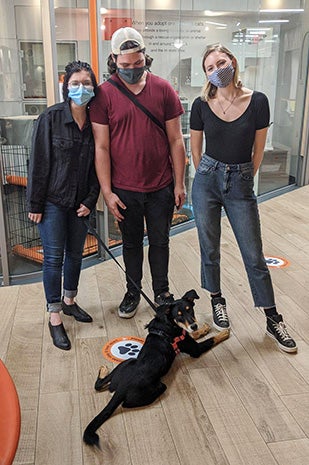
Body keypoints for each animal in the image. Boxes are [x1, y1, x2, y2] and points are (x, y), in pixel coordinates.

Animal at [83, 290, 227, 446]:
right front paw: (224, 333)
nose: (194, 325)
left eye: (190, 310)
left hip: (127, 362)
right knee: (126, 404)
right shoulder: (195, 349)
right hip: (158, 386)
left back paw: (103, 370)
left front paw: (204, 329)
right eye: (179, 315)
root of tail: (121, 388)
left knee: (99, 384)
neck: (169, 323)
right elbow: (212, 339)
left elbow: (194, 334)